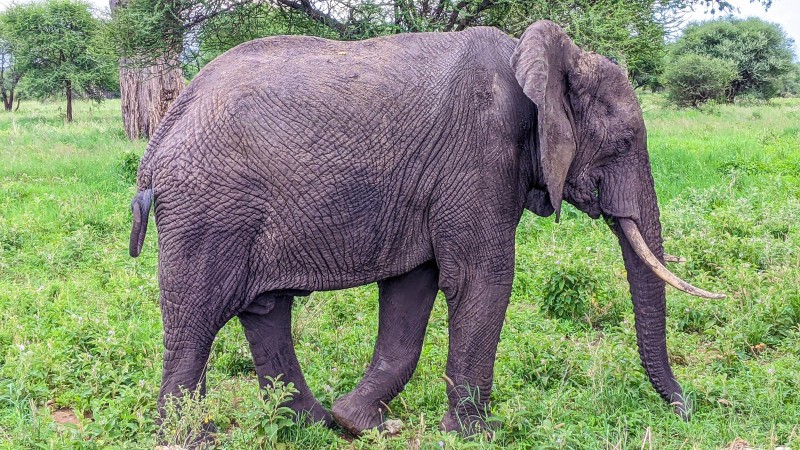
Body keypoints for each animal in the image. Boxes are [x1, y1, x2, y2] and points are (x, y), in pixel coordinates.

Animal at [128, 20, 720, 436]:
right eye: (624, 141)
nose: (687, 412)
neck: (544, 58)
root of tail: (159, 138)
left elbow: (413, 288)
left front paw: (360, 423)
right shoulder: (479, 155)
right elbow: (482, 280)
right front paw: (480, 434)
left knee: (265, 310)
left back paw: (311, 425)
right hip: (208, 210)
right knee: (195, 322)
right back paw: (192, 438)